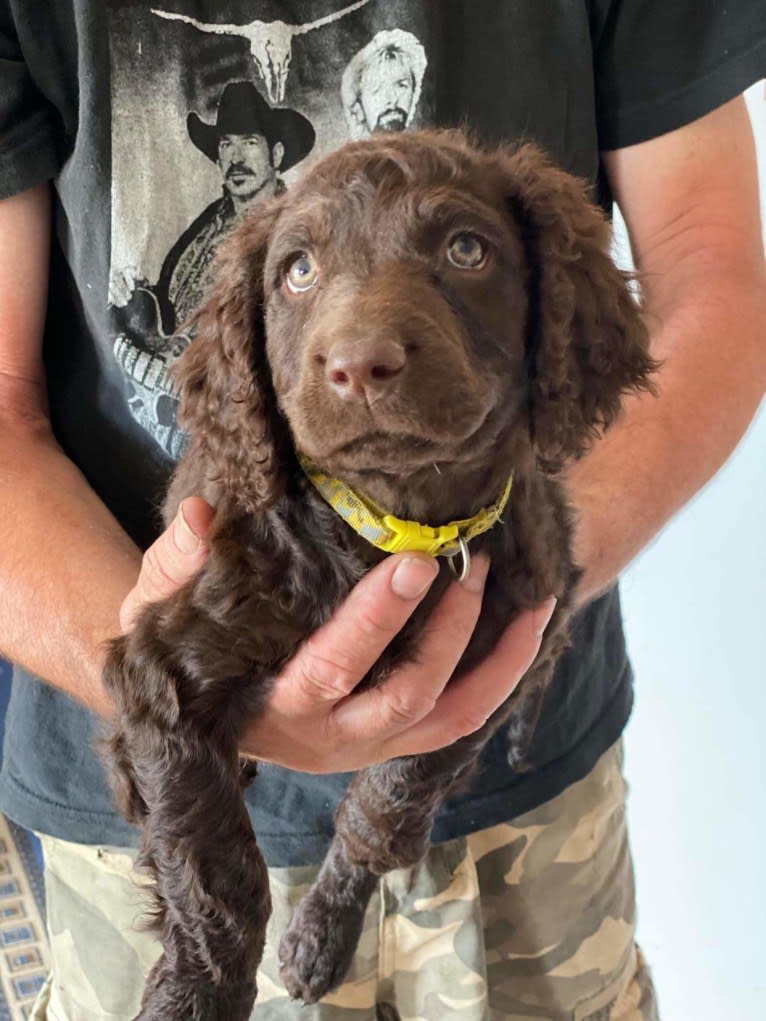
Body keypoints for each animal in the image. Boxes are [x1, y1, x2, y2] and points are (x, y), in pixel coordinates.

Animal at [99, 131, 657, 1016]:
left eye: (467, 250)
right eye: (298, 270)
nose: (361, 365)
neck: (392, 528)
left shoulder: (484, 674)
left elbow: (389, 801)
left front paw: (323, 931)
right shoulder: (169, 669)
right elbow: (214, 867)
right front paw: (194, 993)